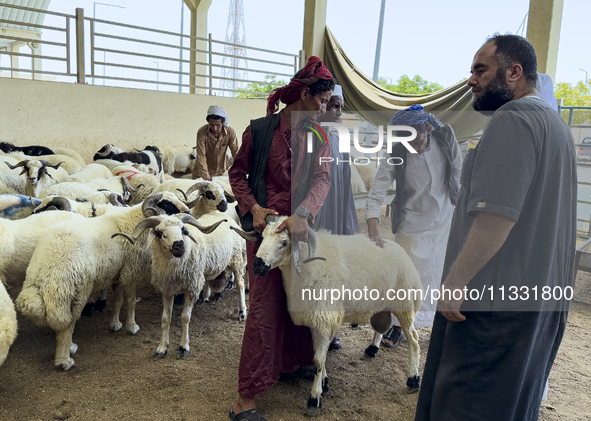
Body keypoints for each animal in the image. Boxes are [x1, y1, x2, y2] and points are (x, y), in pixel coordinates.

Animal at [14, 192, 190, 370]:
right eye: (167, 205)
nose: (189, 213)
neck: (134, 223)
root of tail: (44, 274)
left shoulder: (118, 273)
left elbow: (118, 301)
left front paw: (115, 324)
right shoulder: (130, 272)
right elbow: (131, 301)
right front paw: (132, 327)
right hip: (77, 292)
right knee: (68, 325)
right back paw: (66, 358)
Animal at [229, 215, 424, 416]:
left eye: (284, 243)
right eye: (262, 237)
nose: (257, 266)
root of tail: (397, 247)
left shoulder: (324, 319)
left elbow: (318, 360)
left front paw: (314, 399)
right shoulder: (316, 320)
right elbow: (318, 357)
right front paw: (324, 382)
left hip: (404, 303)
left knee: (414, 340)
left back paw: (413, 379)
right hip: (382, 302)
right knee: (381, 327)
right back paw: (372, 348)